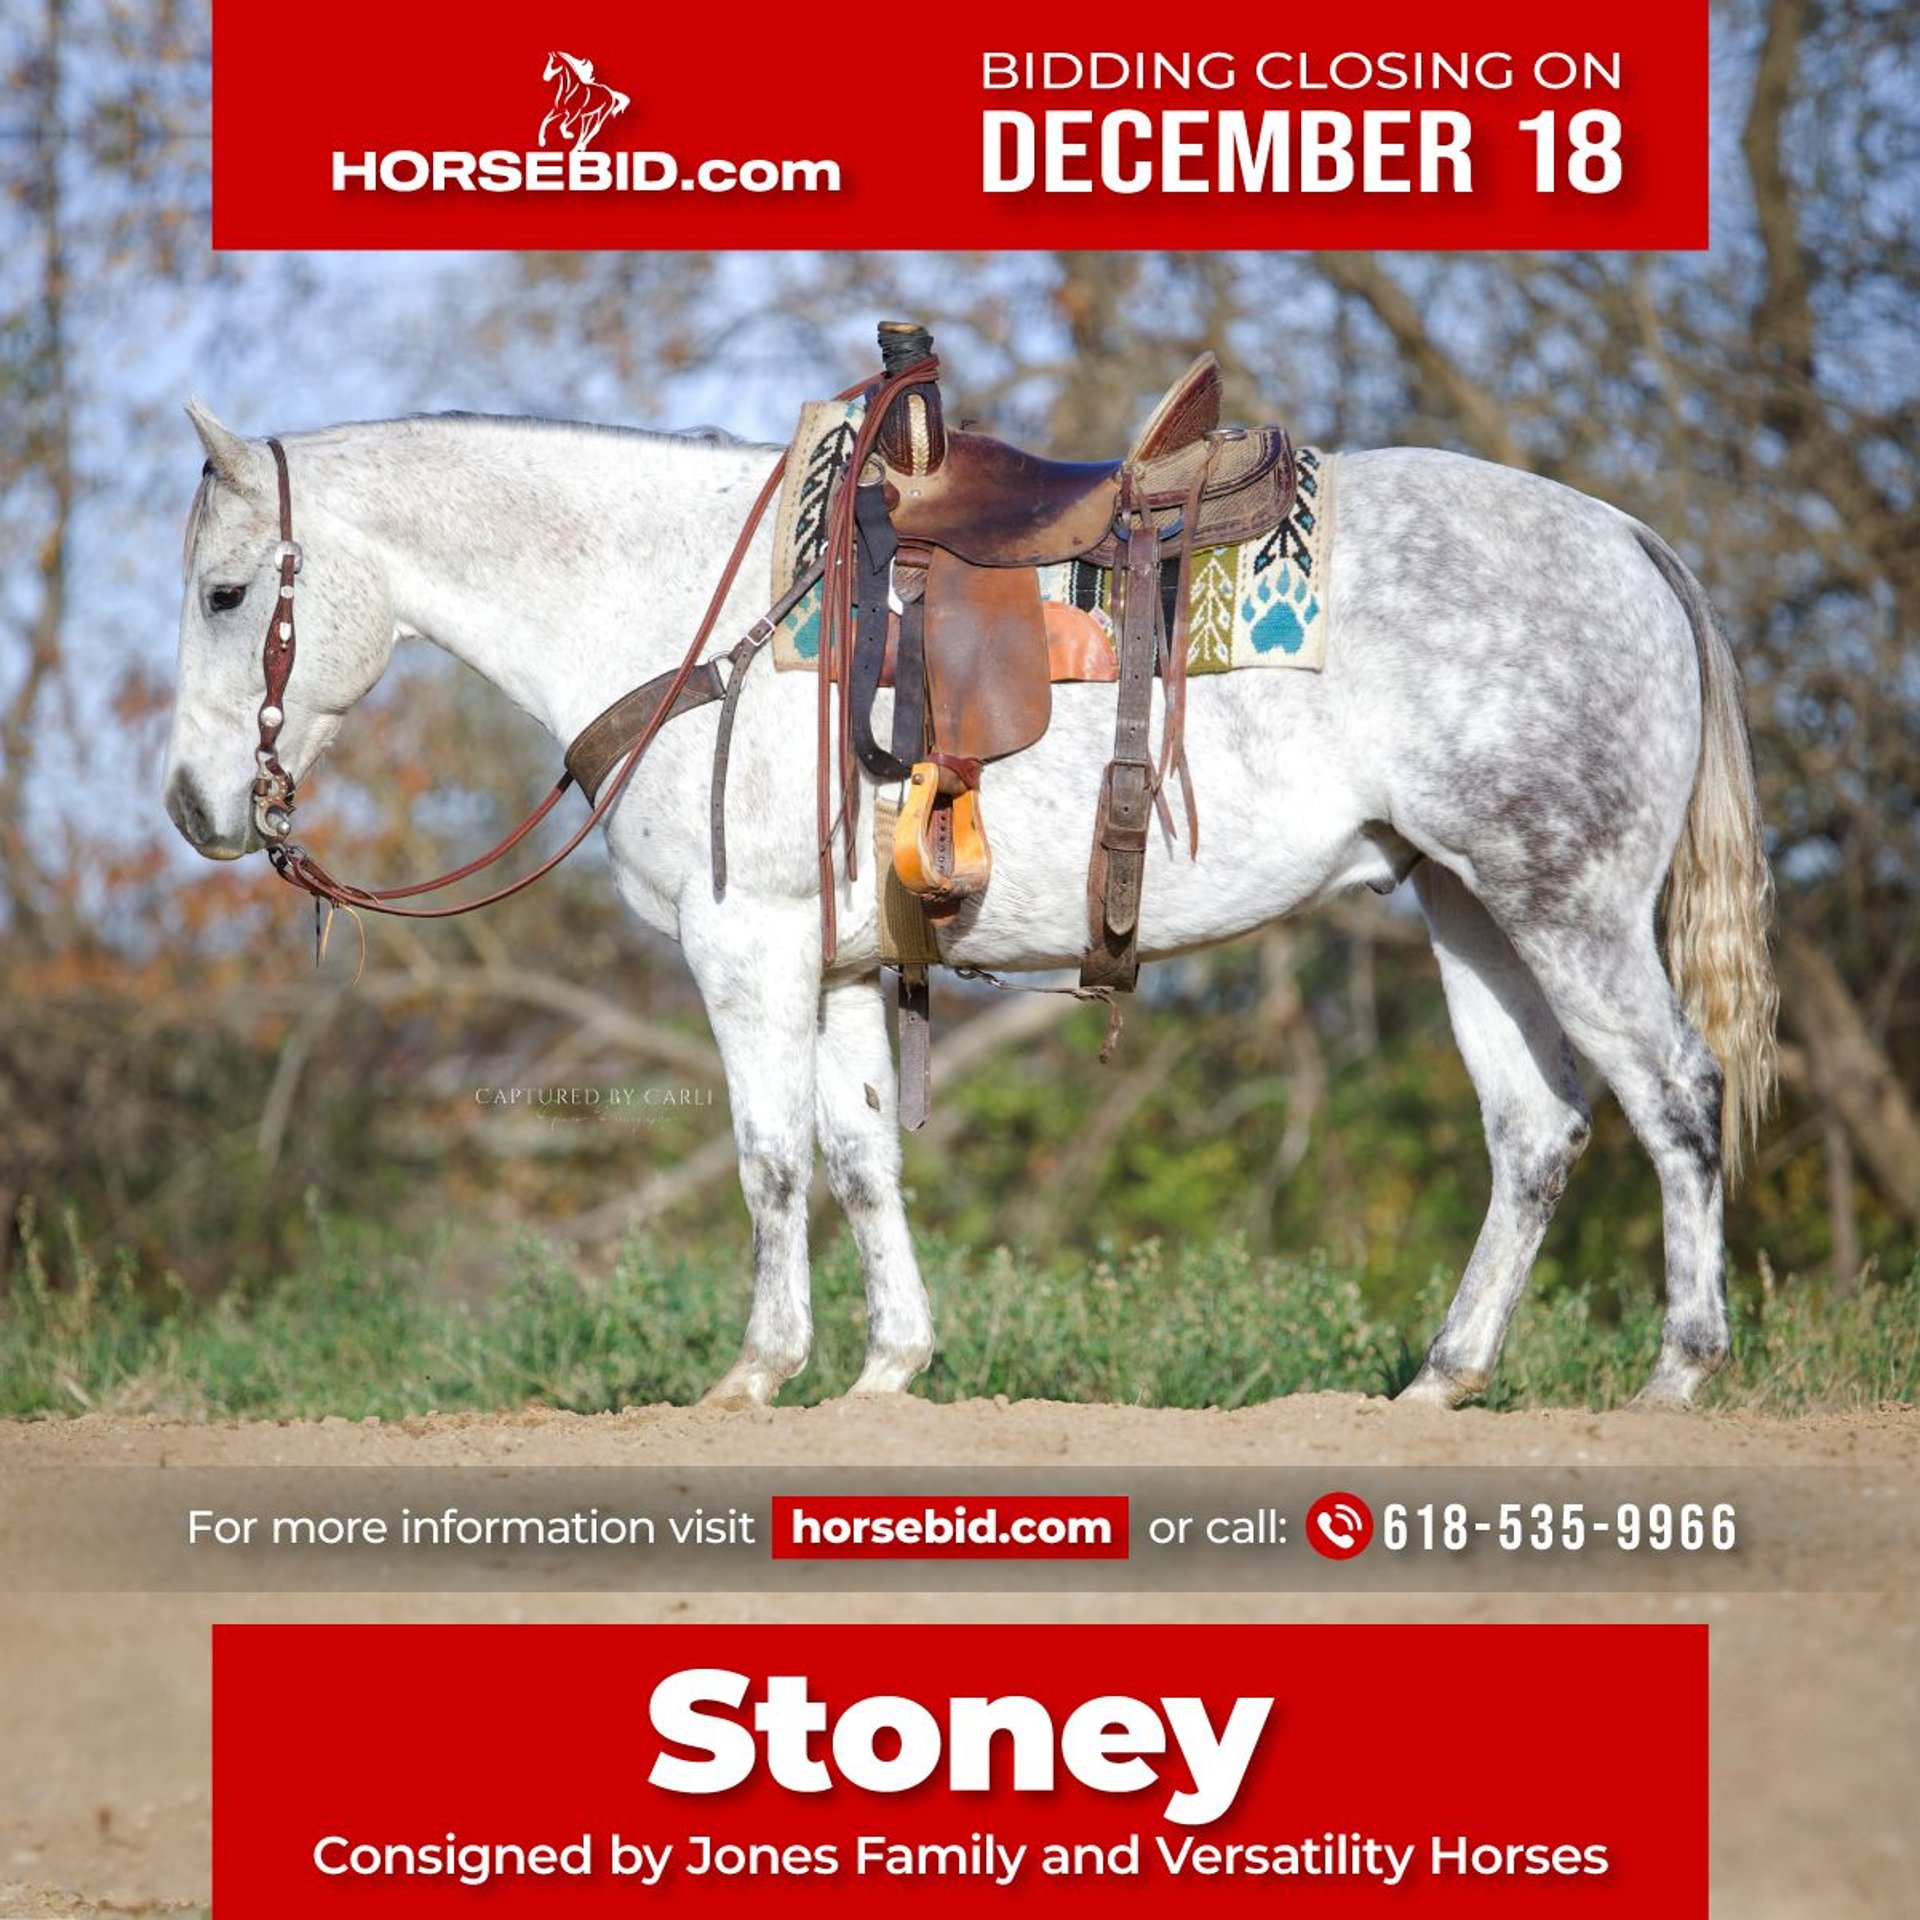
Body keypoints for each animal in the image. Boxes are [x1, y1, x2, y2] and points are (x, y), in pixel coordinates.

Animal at [162, 398, 1777, 1412]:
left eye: (227, 594)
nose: (193, 807)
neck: (694, 613)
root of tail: (1629, 540)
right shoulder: (834, 967)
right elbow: (862, 1157)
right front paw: (887, 1370)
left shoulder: (743, 950)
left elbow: (770, 1163)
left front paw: (756, 1372)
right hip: (1469, 909)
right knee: (1538, 1133)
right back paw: (1443, 1379)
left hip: (1566, 907)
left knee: (1677, 1097)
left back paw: (1679, 1373)